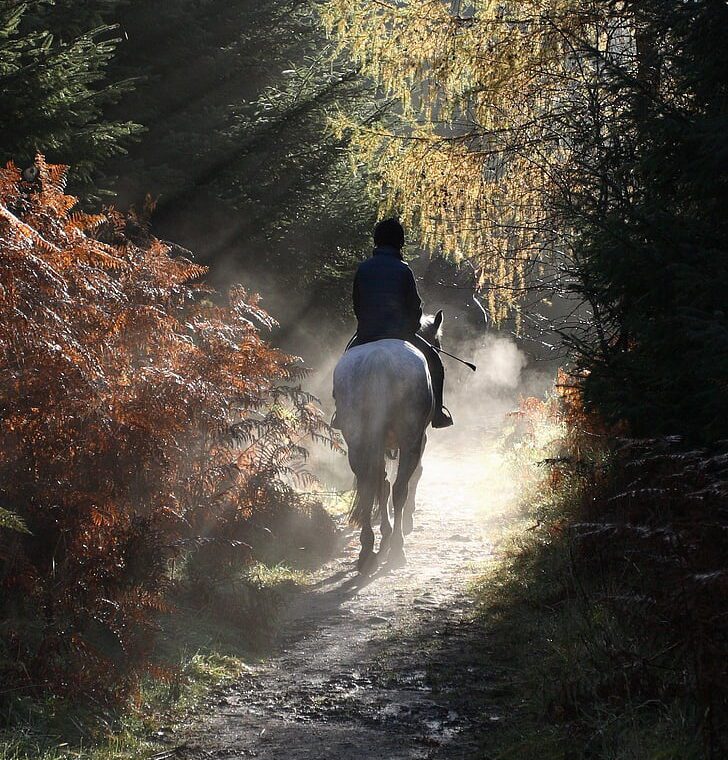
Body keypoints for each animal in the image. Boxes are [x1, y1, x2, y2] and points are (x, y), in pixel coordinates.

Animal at [332, 312, 444, 572]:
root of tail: (378, 359)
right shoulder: (419, 439)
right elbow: (413, 476)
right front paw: (403, 524)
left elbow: (381, 484)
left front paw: (384, 531)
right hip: (410, 438)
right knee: (400, 488)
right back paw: (397, 548)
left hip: (358, 442)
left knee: (368, 487)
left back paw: (366, 551)